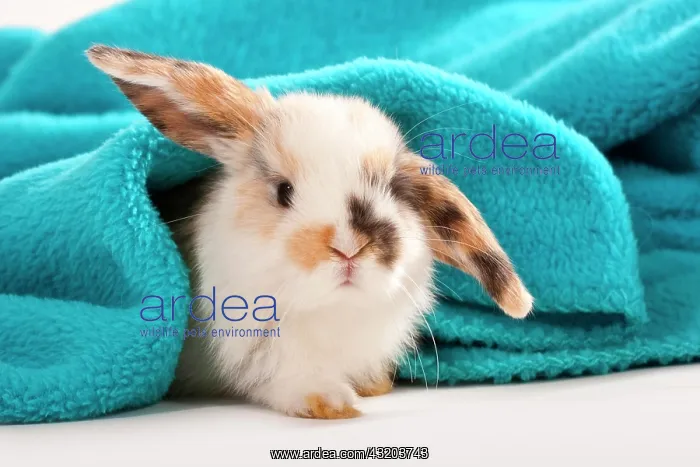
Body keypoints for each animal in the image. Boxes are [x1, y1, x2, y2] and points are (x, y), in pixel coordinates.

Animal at [87, 45, 533, 419]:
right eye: (283, 191)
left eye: (392, 189)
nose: (349, 248)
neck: (328, 311)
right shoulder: (257, 349)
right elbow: (286, 379)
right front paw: (334, 404)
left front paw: (374, 386)